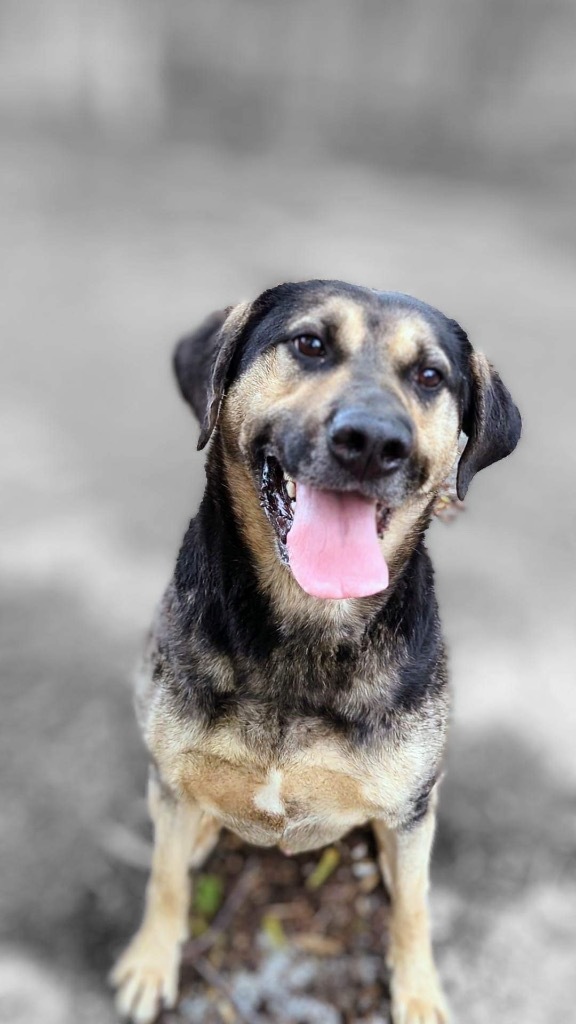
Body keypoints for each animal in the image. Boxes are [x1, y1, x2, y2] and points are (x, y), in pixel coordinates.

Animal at [109, 280, 518, 1024]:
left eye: (429, 376)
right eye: (310, 344)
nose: (373, 442)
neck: (305, 629)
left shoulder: (410, 810)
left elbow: (412, 908)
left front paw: (418, 992)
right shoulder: (171, 776)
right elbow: (164, 879)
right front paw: (151, 962)